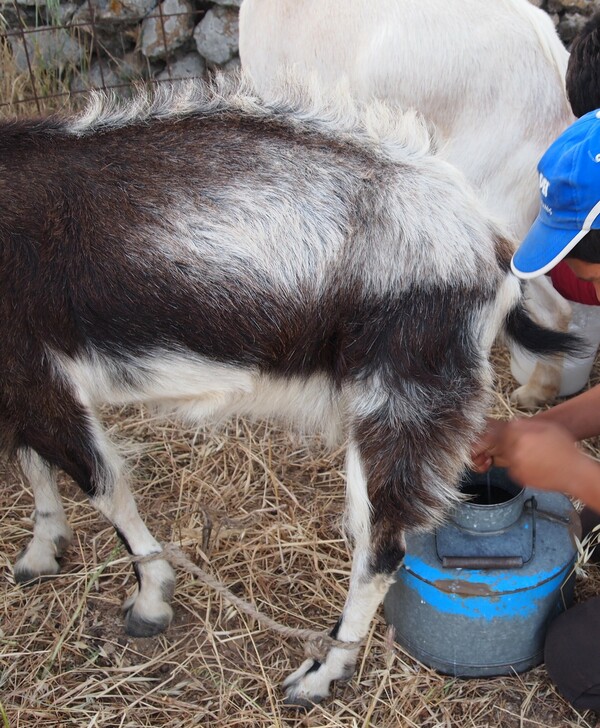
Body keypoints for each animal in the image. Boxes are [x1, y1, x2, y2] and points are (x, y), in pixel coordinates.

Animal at [1, 79, 576, 704]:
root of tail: (492, 245)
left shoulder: (35, 370)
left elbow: (104, 488)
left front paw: (150, 601)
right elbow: (33, 460)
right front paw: (42, 547)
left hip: (403, 398)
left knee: (382, 545)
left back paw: (320, 673)